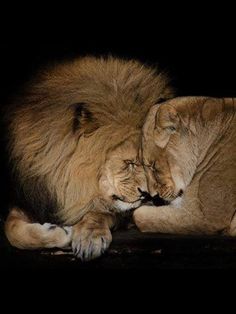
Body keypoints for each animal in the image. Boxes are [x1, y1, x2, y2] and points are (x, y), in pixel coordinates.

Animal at [4, 55, 173, 260]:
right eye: (129, 163)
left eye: (150, 164)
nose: (147, 194)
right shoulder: (33, 198)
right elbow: (12, 230)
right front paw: (59, 232)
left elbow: (98, 212)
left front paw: (89, 236)